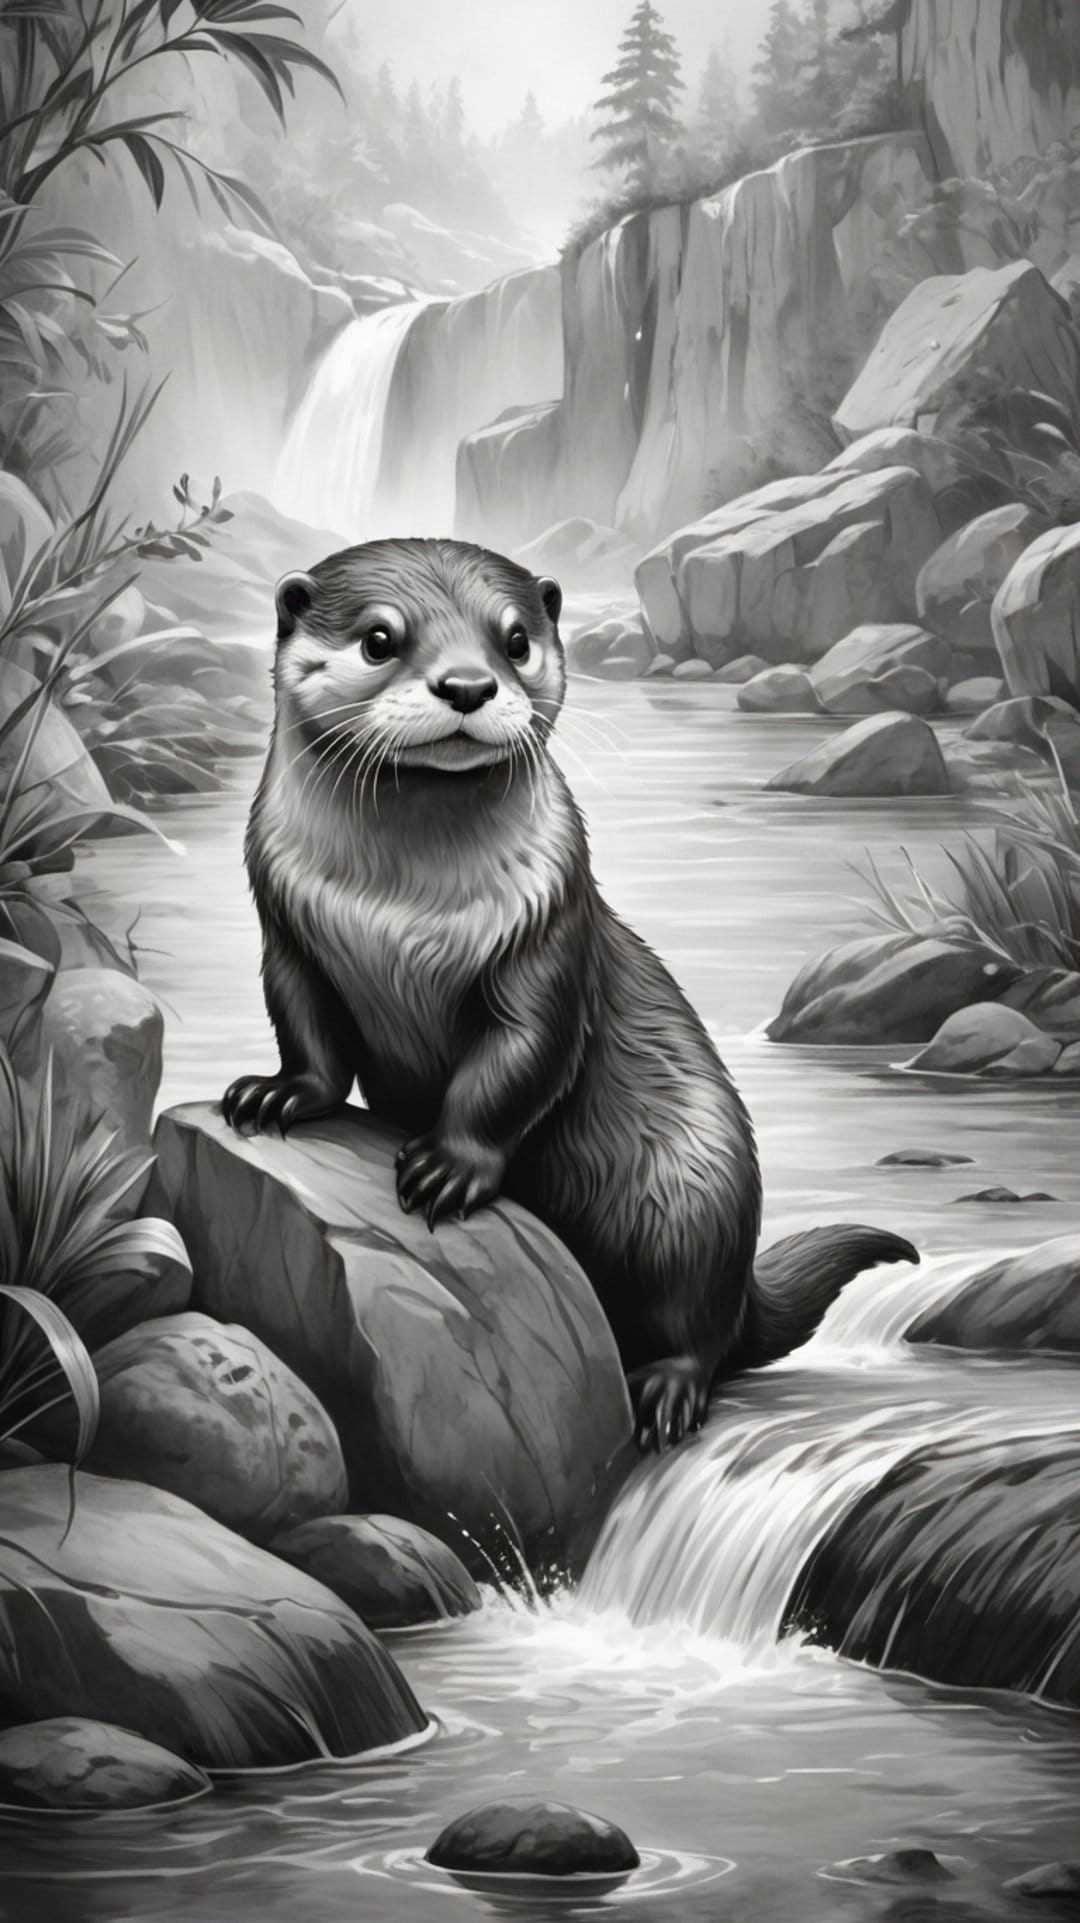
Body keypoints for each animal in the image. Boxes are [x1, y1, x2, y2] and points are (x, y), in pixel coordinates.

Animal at [223, 537, 916, 1451]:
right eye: (378, 638)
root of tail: (743, 1280)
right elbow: (307, 1031)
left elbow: (516, 1063)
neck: (395, 912)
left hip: (694, 1190)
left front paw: (450, 1166)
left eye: (515, 639)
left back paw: (665, 1391)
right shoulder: (288, 931)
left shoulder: (547, 939)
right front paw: (277, 1093)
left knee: (698, 1326)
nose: (468, 684)